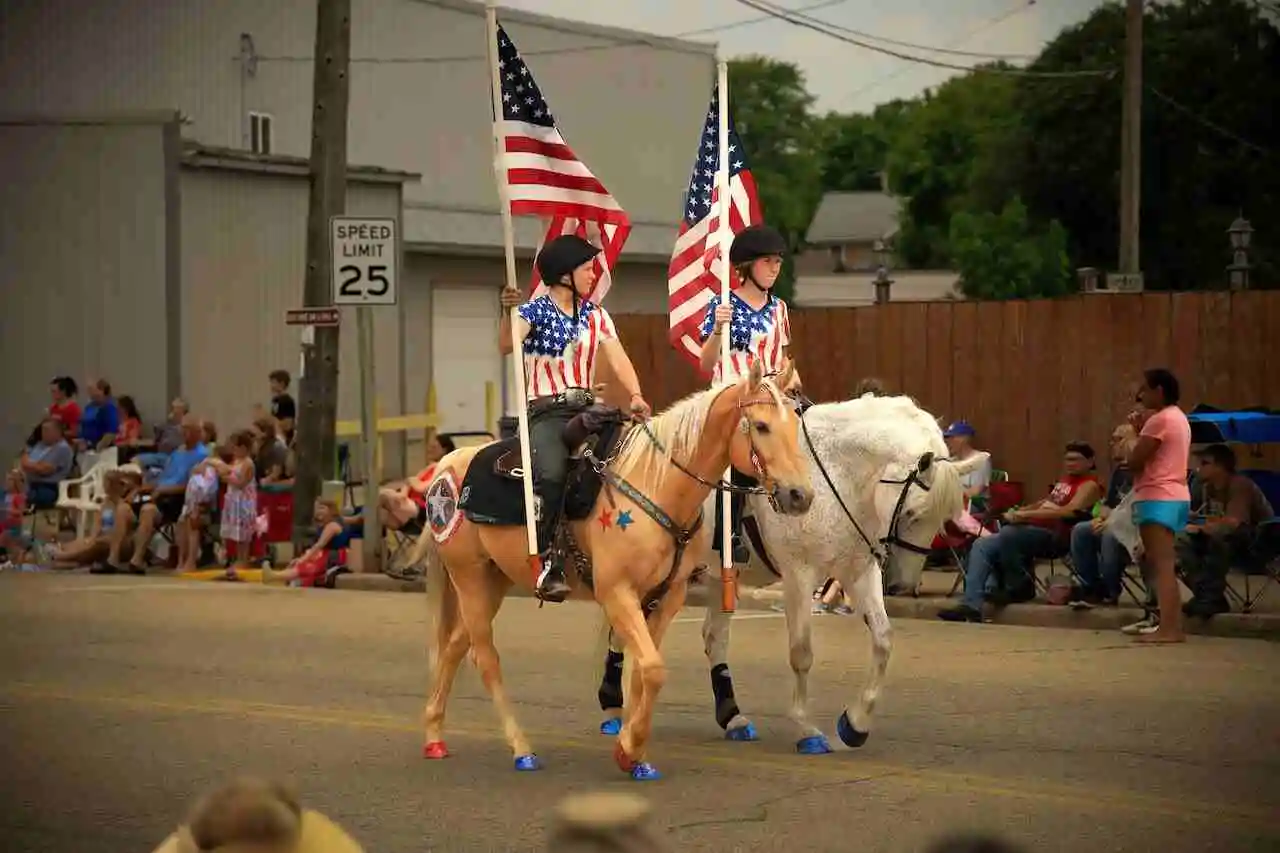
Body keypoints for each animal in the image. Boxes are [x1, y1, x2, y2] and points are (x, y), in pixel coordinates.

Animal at [409, 358, 808, 778]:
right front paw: (630, 748)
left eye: (794, 425)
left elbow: (643, 673)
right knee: (484, 657)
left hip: (493, 580)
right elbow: (652, 669)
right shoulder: (616, 592)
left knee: (456, 645)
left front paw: (633, 754)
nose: (801, 495)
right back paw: (521, 749)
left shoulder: (667, 597)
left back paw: (434, 735)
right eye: (761, 426)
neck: (657, 482)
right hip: (468, 576)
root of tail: (447, 467)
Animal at [591, 391, 977, 753]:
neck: (837, 475)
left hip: (717, 576)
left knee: (713, 638)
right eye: (912, 513)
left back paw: (732, 717)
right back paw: (613, 710)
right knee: (622, 633)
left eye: (943, 518)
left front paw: (854, 725)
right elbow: (802, 652)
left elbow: (883, 639)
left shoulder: (858, 571)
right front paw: (807, 730)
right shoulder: (799, 575)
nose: (902, 583)